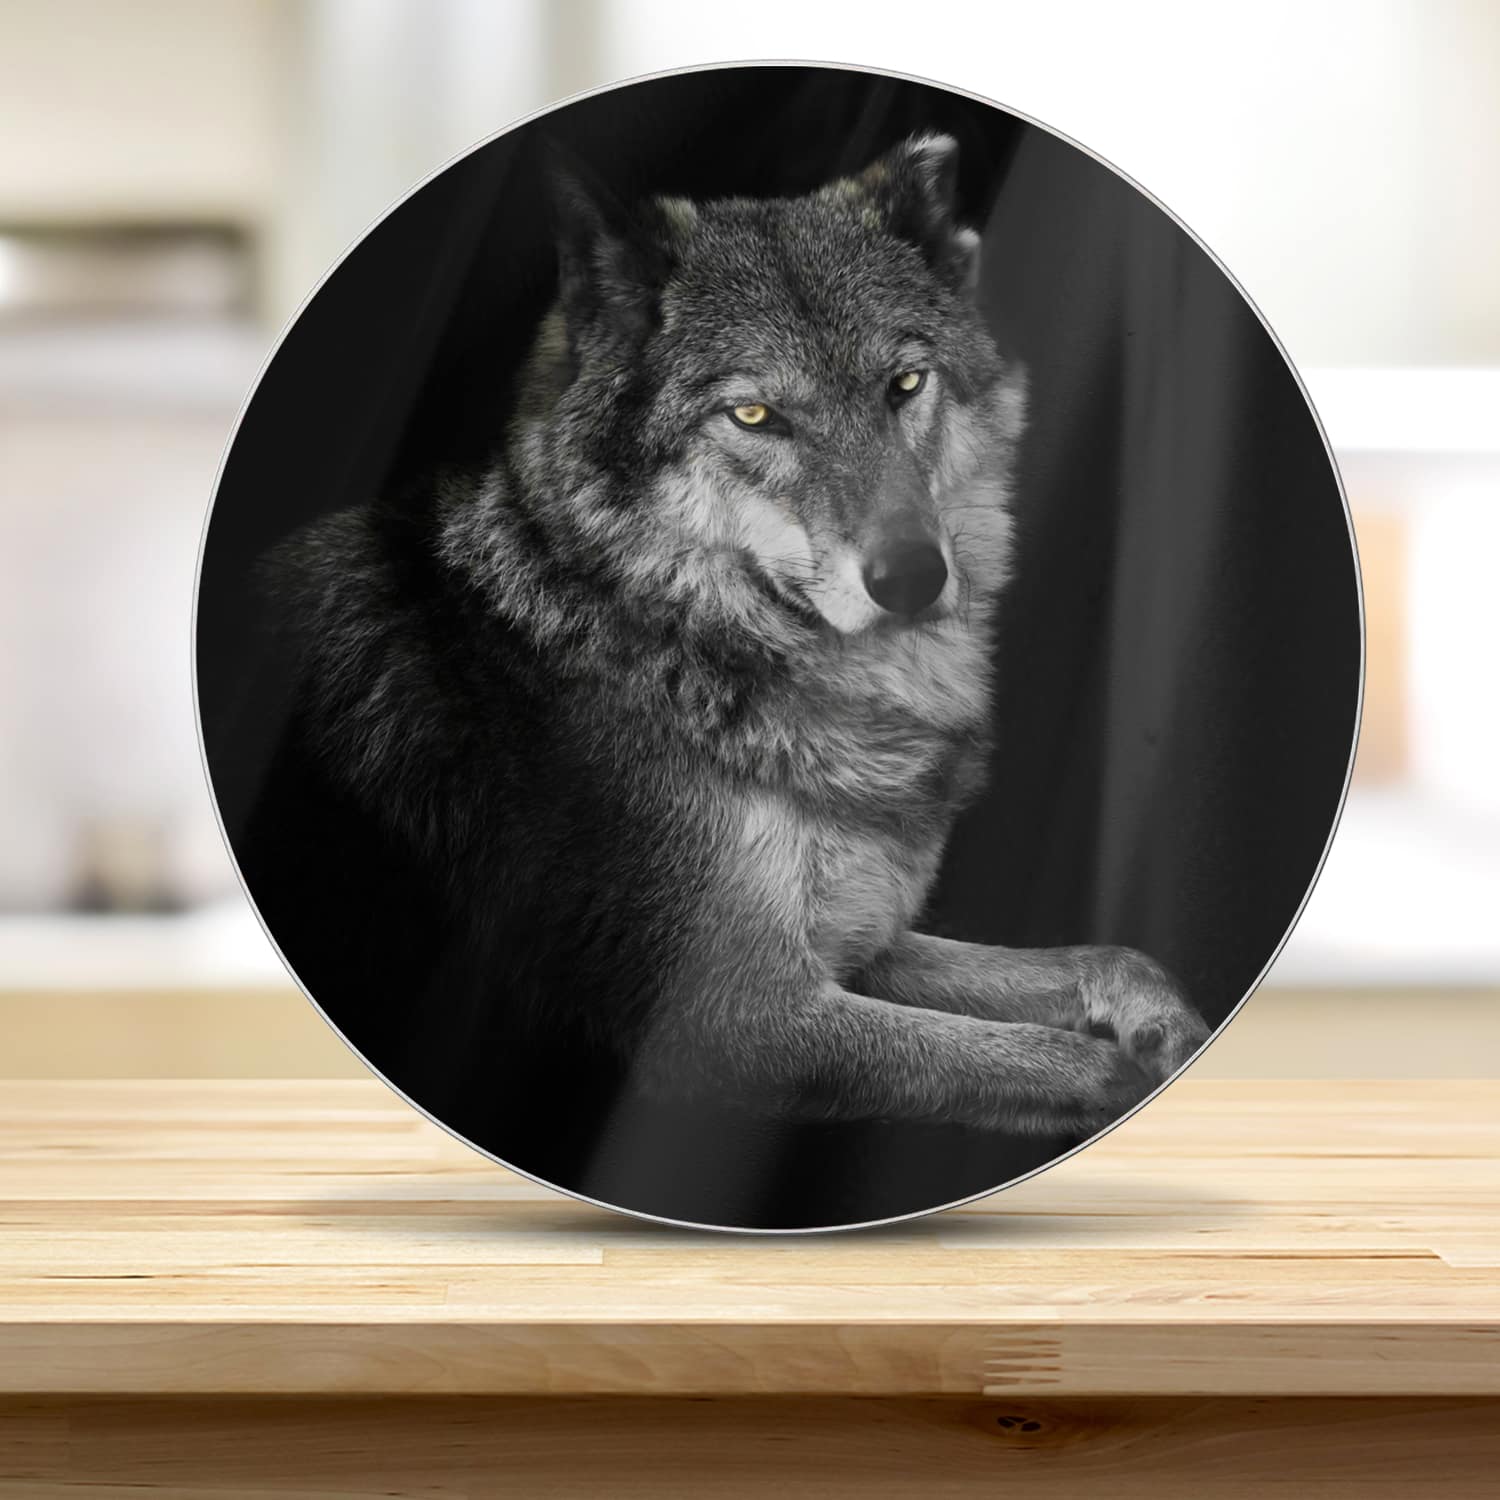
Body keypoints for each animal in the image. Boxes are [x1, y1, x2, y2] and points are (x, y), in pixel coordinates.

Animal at [249, 131, 1209, 1161]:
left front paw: (1172, 1028)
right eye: (754, 416)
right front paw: (1131, 1081)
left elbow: (1107, 957)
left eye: (904, 386)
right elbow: (1058, 1060)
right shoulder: (733, 1016)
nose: (913, 576)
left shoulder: (855, 945)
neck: (654, 632)